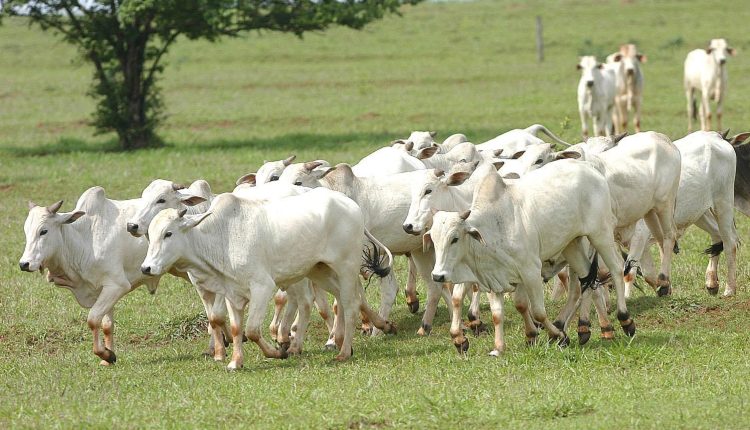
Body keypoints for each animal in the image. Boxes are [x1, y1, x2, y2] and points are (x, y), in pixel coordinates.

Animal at [142, 189, 400, 370]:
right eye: (150, 236)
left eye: (168, 233)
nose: (146, 267)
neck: (222, 238)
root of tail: (350, 204)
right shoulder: (231, 293)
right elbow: (236, 328)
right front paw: (235, 362)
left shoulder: (262, 287)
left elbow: (253, 330)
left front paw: (278, 352)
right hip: (319, 270)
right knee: (346, 300)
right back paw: (377, 327)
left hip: (345, 267)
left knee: (350, 304)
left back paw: (343, 351)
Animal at [424, 161, 636, 356]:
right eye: (433, 238)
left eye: (455, 238)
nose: (437, 275)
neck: (494, 225)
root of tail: (590, 168)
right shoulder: (496, 278)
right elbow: (500, 313)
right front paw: (499, 347)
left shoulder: (531, 271)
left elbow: (538, 312)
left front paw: (558, 336)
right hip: (572, 245)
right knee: (587, 281)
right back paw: (583, 329)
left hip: (600, 233)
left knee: (616, 269)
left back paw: (624, 320)